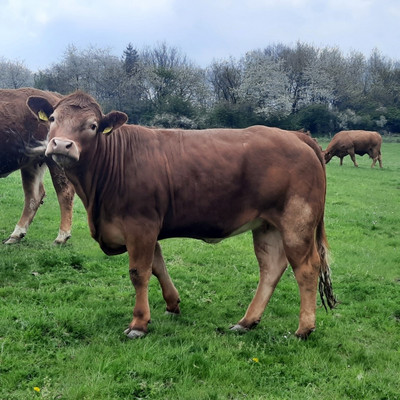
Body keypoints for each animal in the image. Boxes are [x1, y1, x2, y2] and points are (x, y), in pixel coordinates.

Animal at [0, 88, 75, 244]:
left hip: (55, 159)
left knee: (65, 191)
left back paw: (62, 236)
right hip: (32, 162)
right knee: (33, 195)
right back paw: (16, 235)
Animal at [26, 92, 336, 340]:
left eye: (92, 125)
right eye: (52, 118)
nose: (61, 145)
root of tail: (294, 135)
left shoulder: (141, 224)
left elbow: (139, 272)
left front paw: (138, 323)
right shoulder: (147, 228)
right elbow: (157, 266)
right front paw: (172, 304)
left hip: (297, 221)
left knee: (307, 267)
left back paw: (304, 328)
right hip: (267, 225)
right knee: (271, 267)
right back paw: (247, 322)